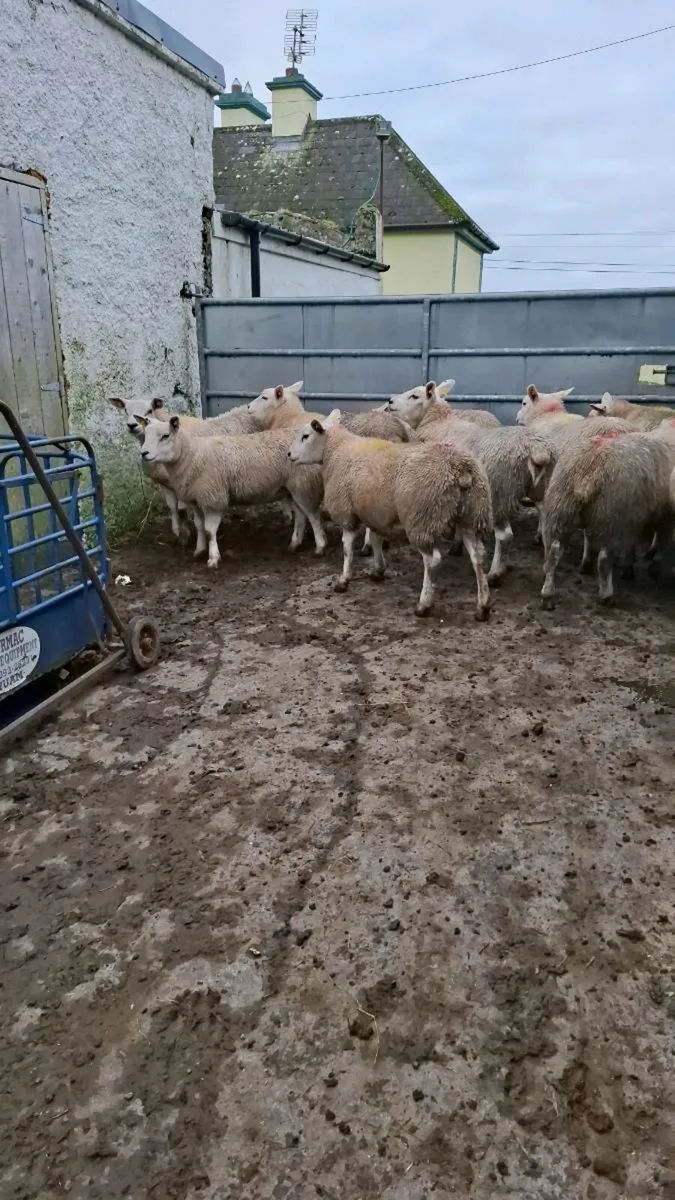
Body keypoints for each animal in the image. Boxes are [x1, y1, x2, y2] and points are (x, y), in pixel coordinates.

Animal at [137, 416, 326, 567]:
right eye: (145, 436)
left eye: (165, 436)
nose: (143, 453)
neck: (192, 455)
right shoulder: (197, 500)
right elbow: (199, 526)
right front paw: (199, 550)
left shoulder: (213, 498)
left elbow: (209, 530)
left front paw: (213, 558)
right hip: (293, 488)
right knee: (301, 516)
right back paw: (294, 544)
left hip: (303, 484)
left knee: (313, 515)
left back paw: (320, 547)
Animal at [288, 410, 493, 619]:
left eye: (305, 436)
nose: (289, 454)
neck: (337, 450)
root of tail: (459, 468)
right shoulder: (374, 512)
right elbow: (375, 539)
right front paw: (378, 570)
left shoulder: (346, 512)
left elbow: (347, 547)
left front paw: (343, 579)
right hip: (471, 515)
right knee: (478, 556)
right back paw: (482, 606)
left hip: (422, 518)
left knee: (432, 560)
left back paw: (424, 604)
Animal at [436, 422, 556, 584]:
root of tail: (538, 451)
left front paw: (455, 543)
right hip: (543, 488)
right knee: (546, 524)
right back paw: (546, 568)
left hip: (499, 494)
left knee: (505, 536)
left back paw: (494, 572)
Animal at [540, 422, 675, 608]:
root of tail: (589, 466)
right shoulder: (663, 517)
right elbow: (662, 542)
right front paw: (653, 569)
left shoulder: (636, 518)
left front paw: (630, 568)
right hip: (612, 516)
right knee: (603, 560)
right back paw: (607, 595)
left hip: (560, 504)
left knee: (553, 552)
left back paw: (549, 592)